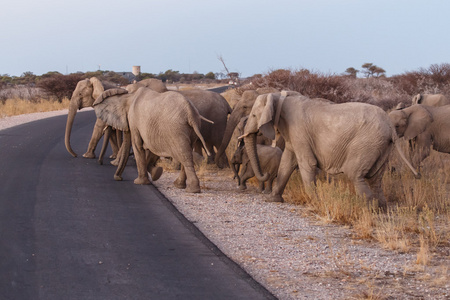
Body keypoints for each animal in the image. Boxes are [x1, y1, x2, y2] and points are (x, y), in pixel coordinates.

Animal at [241, 91, 420, 209]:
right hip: (382, 146)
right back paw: (380, 210)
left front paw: (315, 204)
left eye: (254, 116)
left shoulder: (299, 131)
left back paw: (368, 210)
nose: (264, 174)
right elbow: (287, 162)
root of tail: (390, 125)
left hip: (367, 143)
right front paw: (273, 200)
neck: (279, 96)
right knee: (375, 179)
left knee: (355, 175)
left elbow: (307, 164)